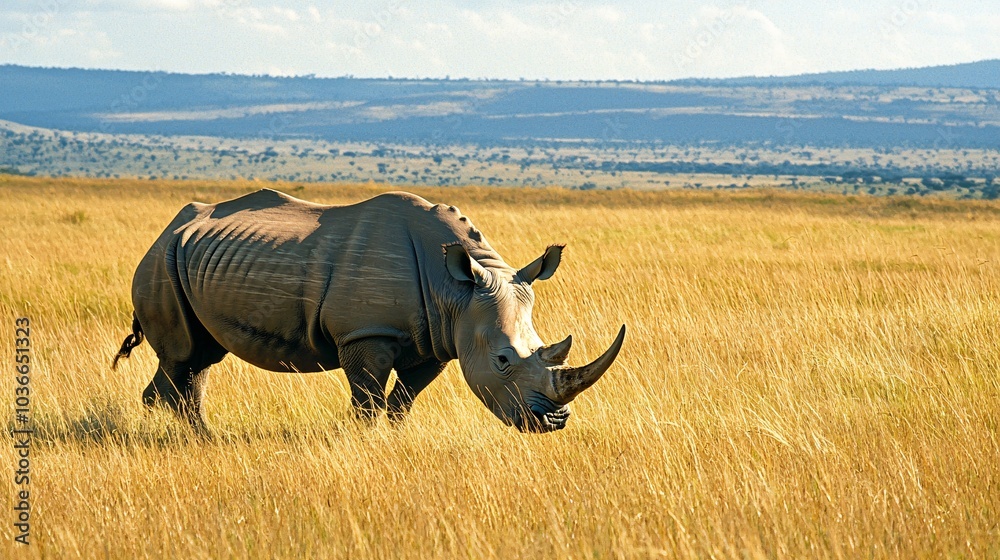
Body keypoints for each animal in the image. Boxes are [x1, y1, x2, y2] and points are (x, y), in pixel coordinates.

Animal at [112, 189, 625, 433]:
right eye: (502, 361)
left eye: (546, 349)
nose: (554, 423)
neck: (456, 292)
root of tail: (168, 228)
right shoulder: (365, 333)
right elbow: (368, 400)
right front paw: (364, 439)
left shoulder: (438, 339)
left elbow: (403, 401)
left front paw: (394, 436)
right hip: (160, 260)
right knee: (182, 355)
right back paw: (196, 437)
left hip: (189, 259)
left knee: (199, 357)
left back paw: (193, 432)